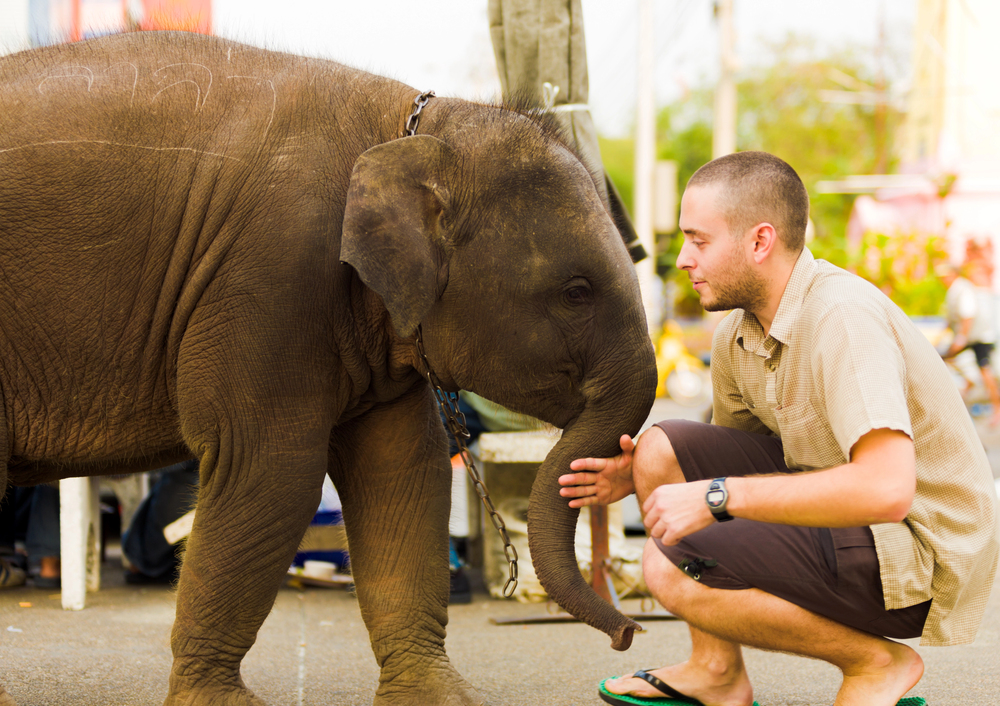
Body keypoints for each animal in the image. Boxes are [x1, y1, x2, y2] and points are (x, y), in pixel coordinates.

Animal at [0, 30, 656, 704]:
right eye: (576, 292)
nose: (630, 634)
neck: (410, 129)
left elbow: (404, 468)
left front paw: (441, 696)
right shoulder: (270, 275)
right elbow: (270, 469)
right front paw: (220, 702)